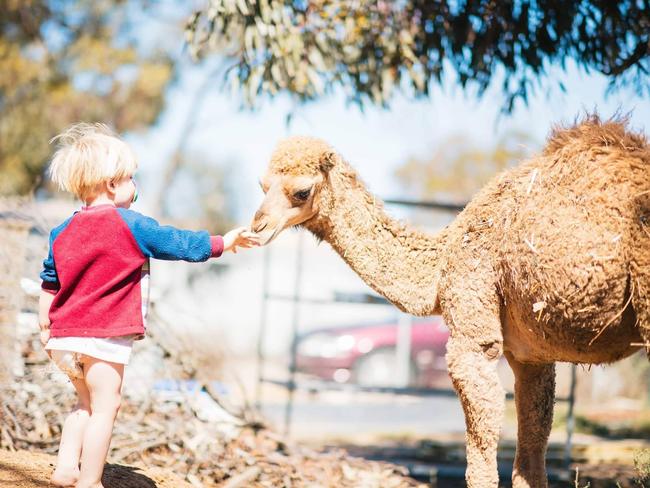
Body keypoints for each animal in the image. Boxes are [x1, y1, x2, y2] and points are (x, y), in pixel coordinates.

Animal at [248, 116, 648, 486]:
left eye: (301, 191)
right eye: (262, 185)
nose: (257, 227)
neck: (441, 262)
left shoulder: (474, 337)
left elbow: (482, 455)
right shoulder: (532, 354)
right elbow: (532, 455)